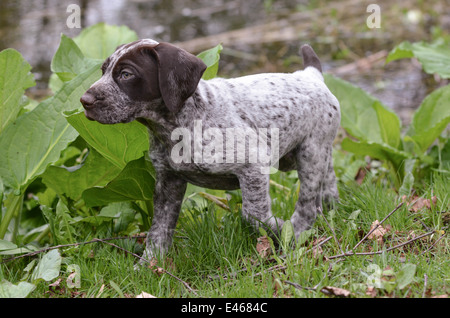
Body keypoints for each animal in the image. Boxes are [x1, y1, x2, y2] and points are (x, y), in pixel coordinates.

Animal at [81, 38, 342, 260]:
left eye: (126, 74)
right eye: (103, 71)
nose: (84, 101)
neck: (177, 127)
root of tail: (310, 75)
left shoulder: (253, 166)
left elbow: (253, 214)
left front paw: (279, 228)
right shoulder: (168, 181)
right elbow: (159, 229)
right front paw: (150, 265)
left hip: (310, 153)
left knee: (308, 204)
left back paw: (296, 232)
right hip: (309, 154)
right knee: (327, 184)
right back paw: (330, 212)